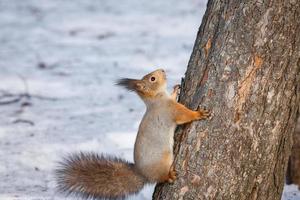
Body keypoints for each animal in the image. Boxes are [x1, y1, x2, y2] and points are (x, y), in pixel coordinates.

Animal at [56, 68, 211, 198]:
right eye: (153, 79)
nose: (162, 70)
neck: (156, 99)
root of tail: (142, 174)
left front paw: (176, 89)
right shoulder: (170, 110)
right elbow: (185, 115)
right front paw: (199, 114)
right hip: (163, 161)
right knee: (161, 177)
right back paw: (169, 176)